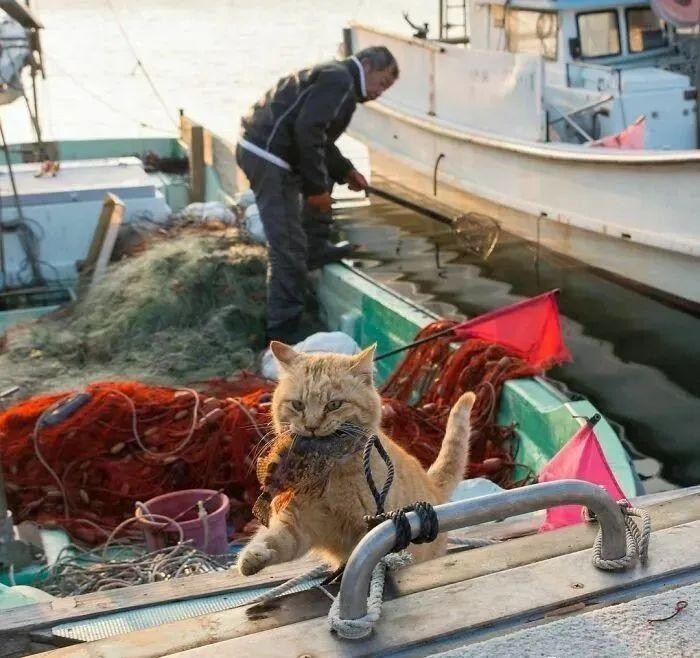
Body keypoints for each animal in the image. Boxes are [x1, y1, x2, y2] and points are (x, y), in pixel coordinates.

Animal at [237, 340, 476, 572]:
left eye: (334, 405)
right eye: (298, 405)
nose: (311, 427)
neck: (332, 475)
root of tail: (433, 485)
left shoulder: (371, 529)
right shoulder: (297, 524)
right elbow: (272, 538)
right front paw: (252, 557)